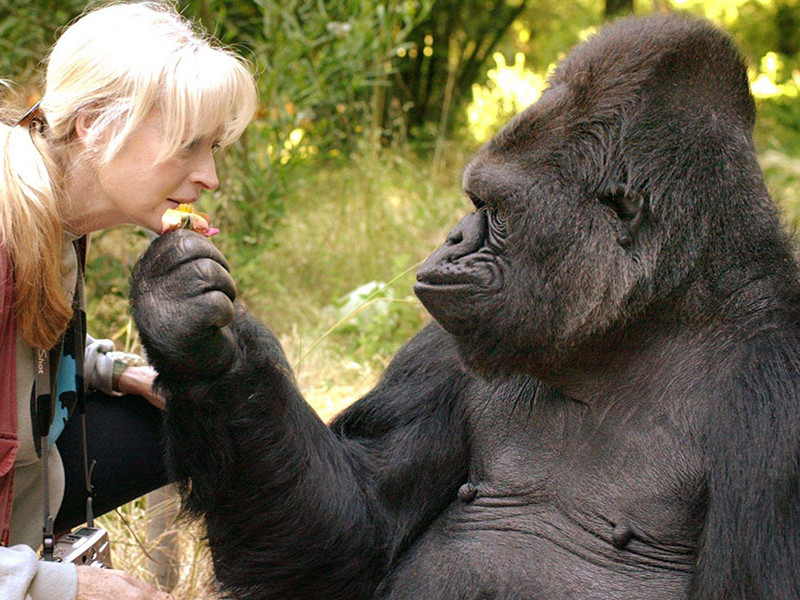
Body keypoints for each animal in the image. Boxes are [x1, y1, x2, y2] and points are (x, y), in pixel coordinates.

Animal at [131, 12, 800, 600]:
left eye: (494, 210)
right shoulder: (445, 345)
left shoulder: (778, 394)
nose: (452, 238)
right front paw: (193, 337)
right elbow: (352, 530)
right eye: (474, 202)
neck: (649, 319)